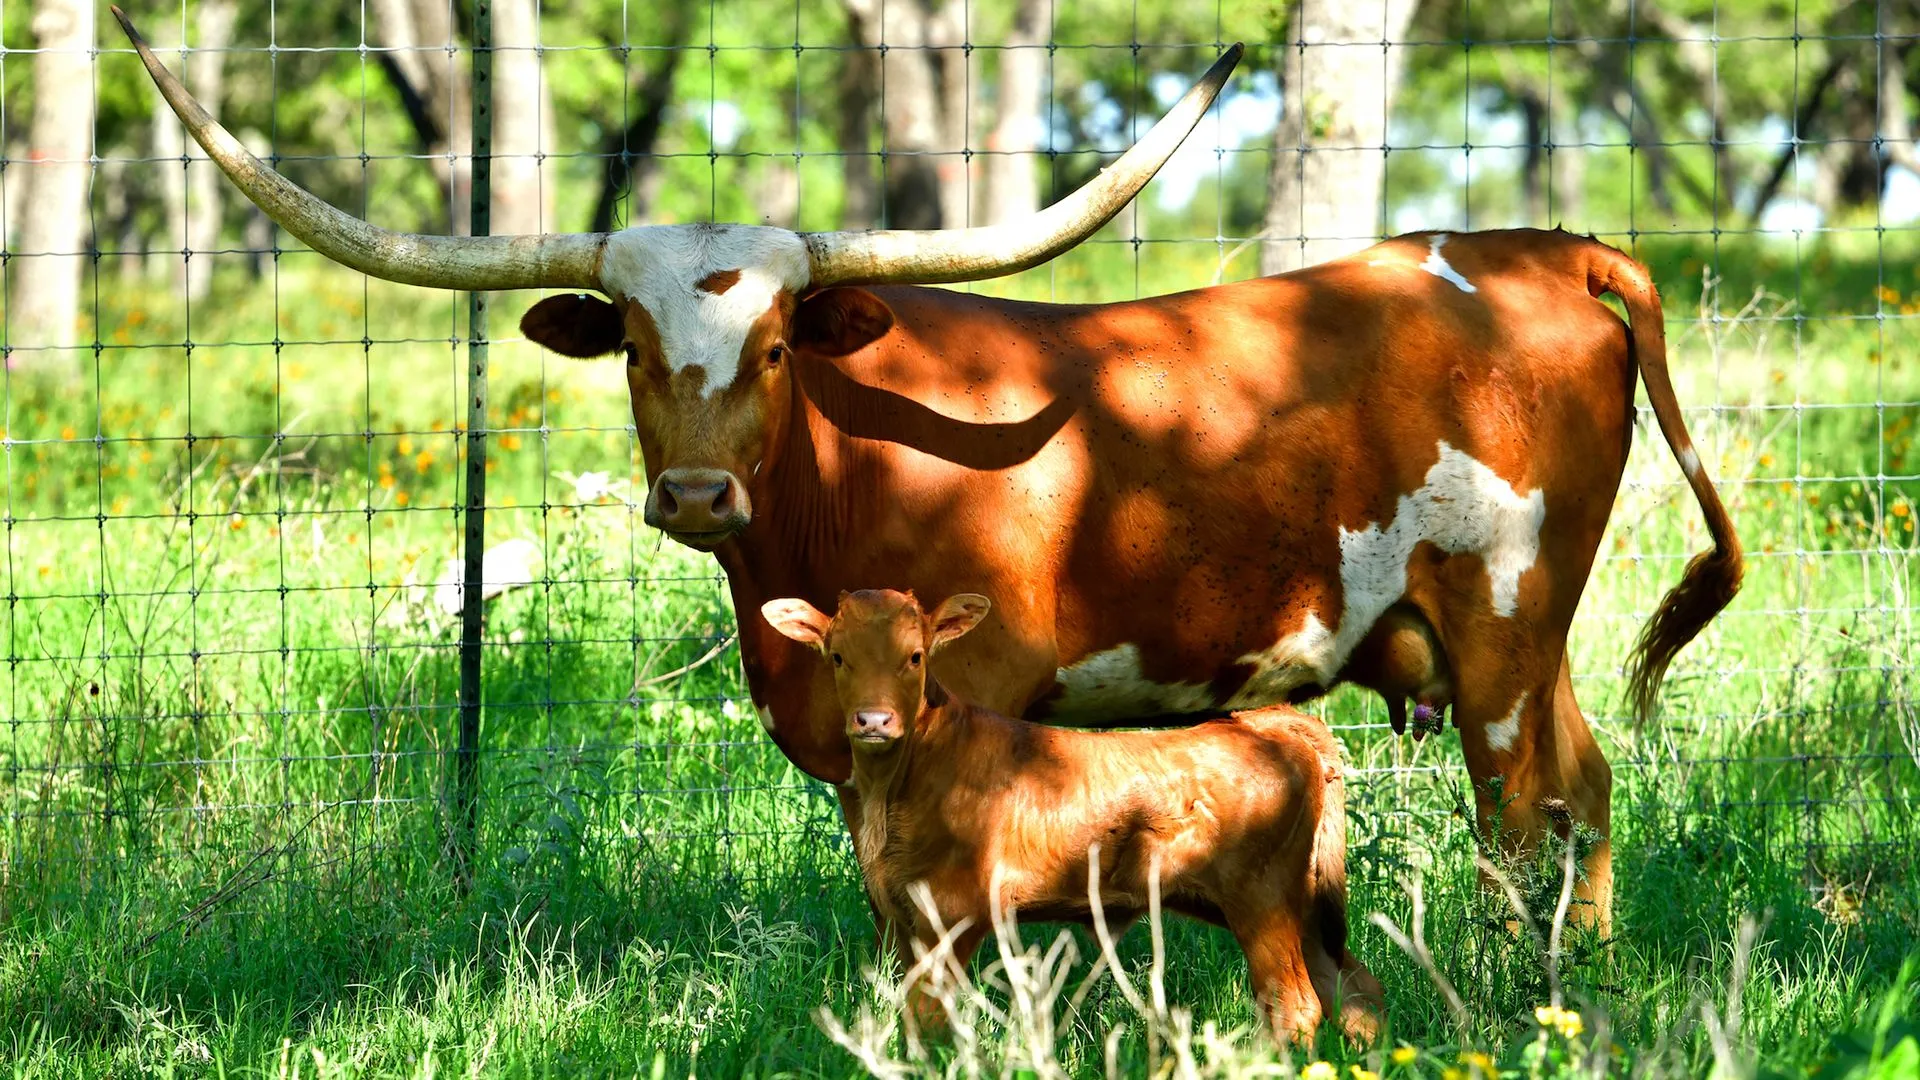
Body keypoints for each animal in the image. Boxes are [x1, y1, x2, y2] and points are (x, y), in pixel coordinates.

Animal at [120, 8, 1743, 930]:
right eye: (634, 346)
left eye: (778, 344)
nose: (695, 496)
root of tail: (1540, 249)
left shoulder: (992, 693)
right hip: (1529, 634)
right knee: (1583, 790)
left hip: (1500, 625)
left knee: (1521, 813)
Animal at [760, 588, 1382, 1045]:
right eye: (837, 656)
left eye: (915, 656)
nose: (873, 720)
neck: (892, 793)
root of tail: (1269, 722)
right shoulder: (901, 915)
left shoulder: (956, 908)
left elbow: (931, 1016)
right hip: (1300, 903)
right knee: (1355, 994)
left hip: (1263, 898)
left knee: (1294, 1005)